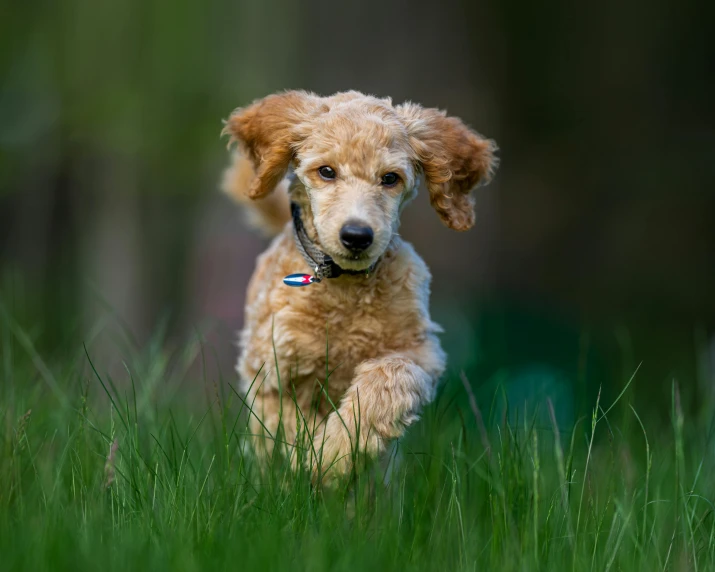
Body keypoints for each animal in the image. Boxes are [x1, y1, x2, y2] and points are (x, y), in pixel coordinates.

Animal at [220, 90, 498, 482]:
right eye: (326, 171)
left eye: (390, 178)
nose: (356, 236)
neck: (344, 288)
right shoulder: (274, 374)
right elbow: (290, 429)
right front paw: (312, 466)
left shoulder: (420, 353)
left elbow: (388, 379)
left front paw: (333, 454)